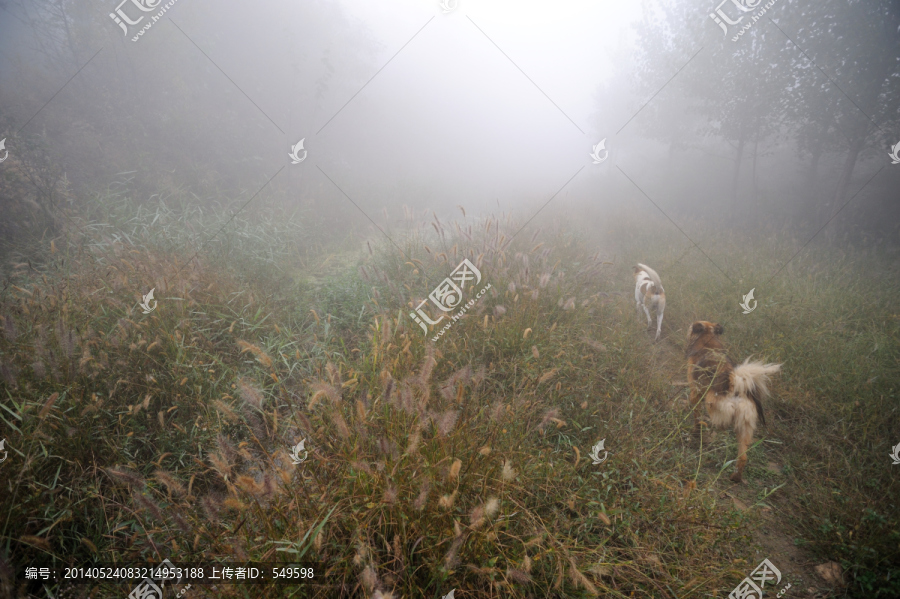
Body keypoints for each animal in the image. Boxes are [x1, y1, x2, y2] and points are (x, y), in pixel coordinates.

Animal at [688, 324, 780, 482]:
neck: (708, 339)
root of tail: (736, 384)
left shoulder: (696, 393)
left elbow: (696, 415)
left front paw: (696, 430)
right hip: (746, 426)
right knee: (743, 457)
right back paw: (736, 476)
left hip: (712, 404)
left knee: (720, 422)